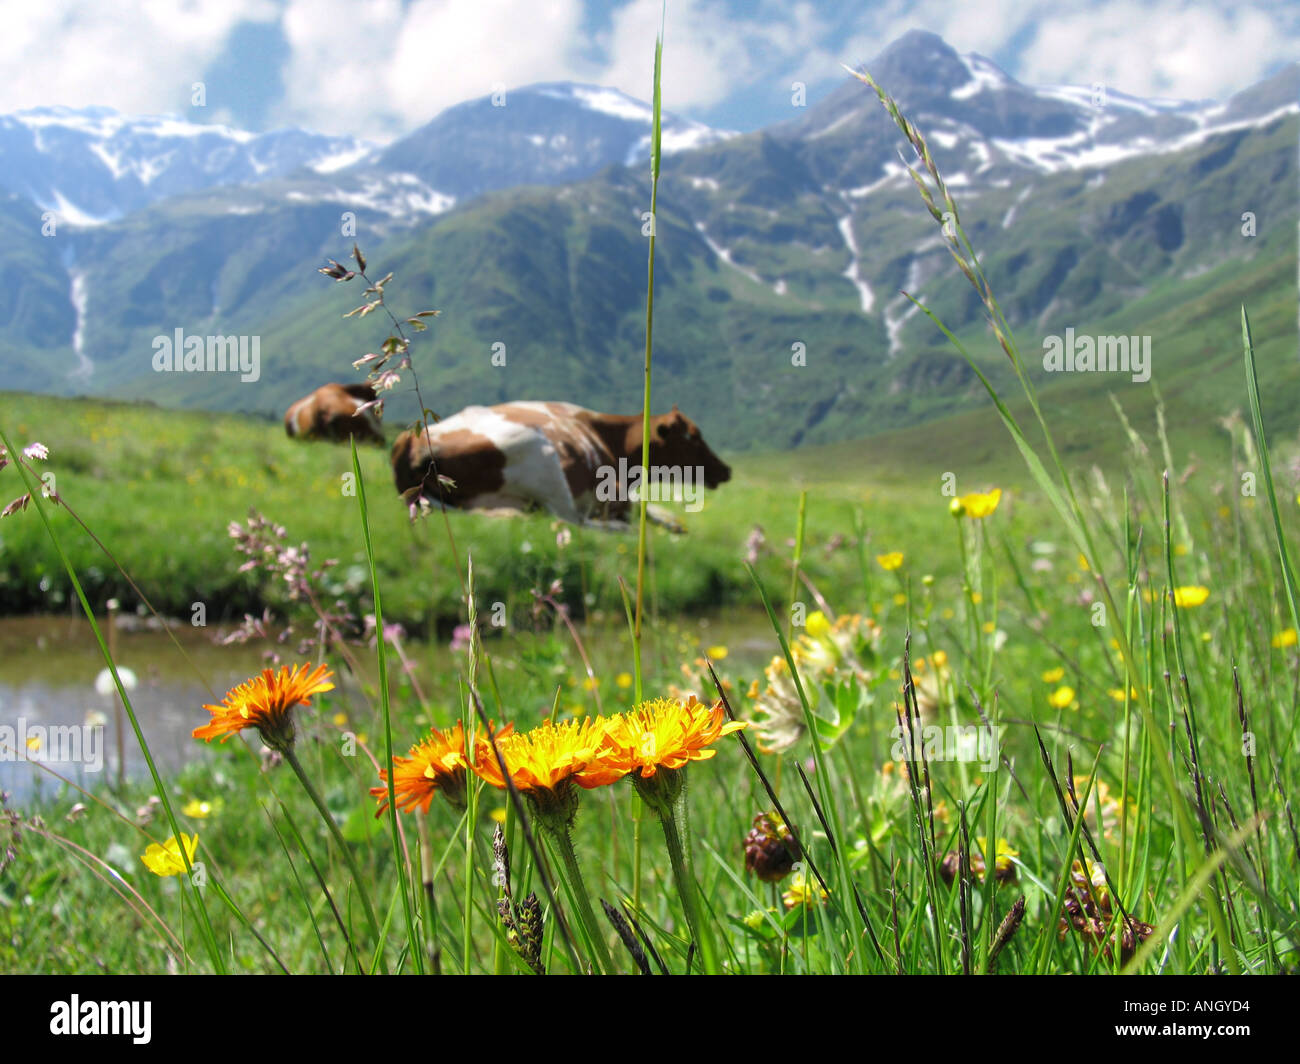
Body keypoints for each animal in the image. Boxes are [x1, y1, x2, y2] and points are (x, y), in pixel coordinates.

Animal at [384, 398, 733, 525]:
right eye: (694, 437)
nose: (726, 469)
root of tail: (411, 441)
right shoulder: (614, 494)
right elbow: (637, 510)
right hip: (545, 460)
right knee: (575, 521)